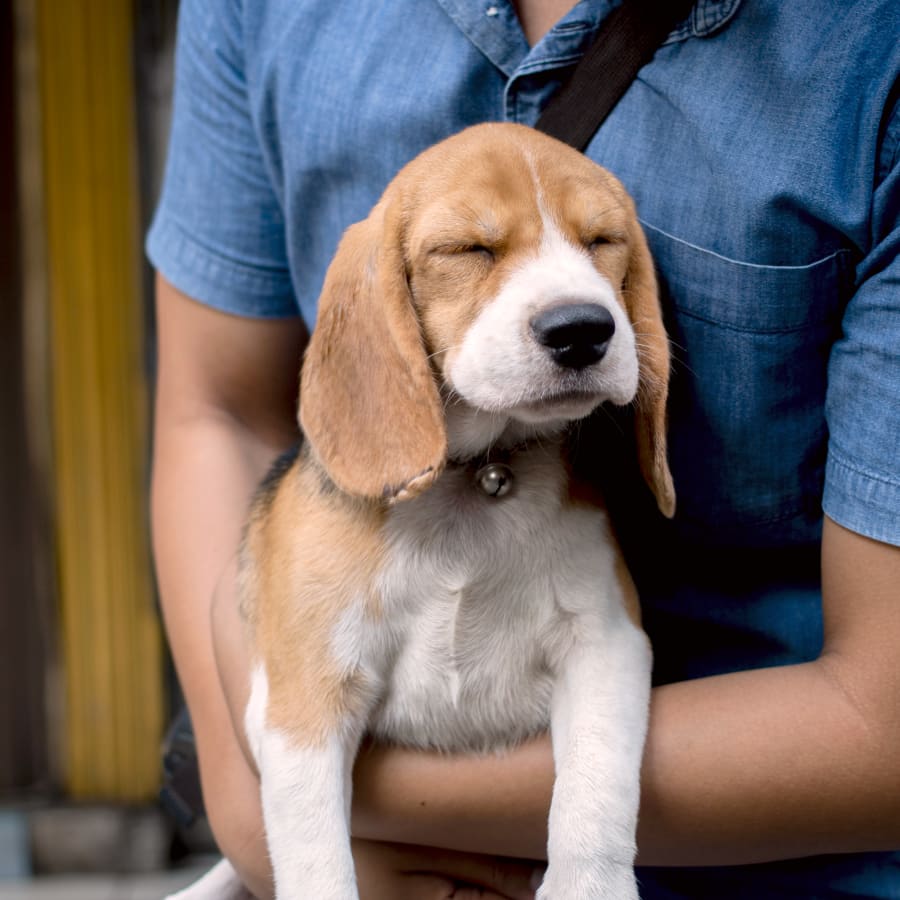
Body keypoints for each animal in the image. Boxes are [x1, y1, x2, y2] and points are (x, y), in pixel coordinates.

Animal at [171, 125, 676, 900]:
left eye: (602, 240)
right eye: (468, 249)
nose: (582, 329)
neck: (471, 485)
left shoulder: (607, 646)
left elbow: (595, 795)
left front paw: (588, 887)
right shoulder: (303, 702)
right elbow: (318, 862)